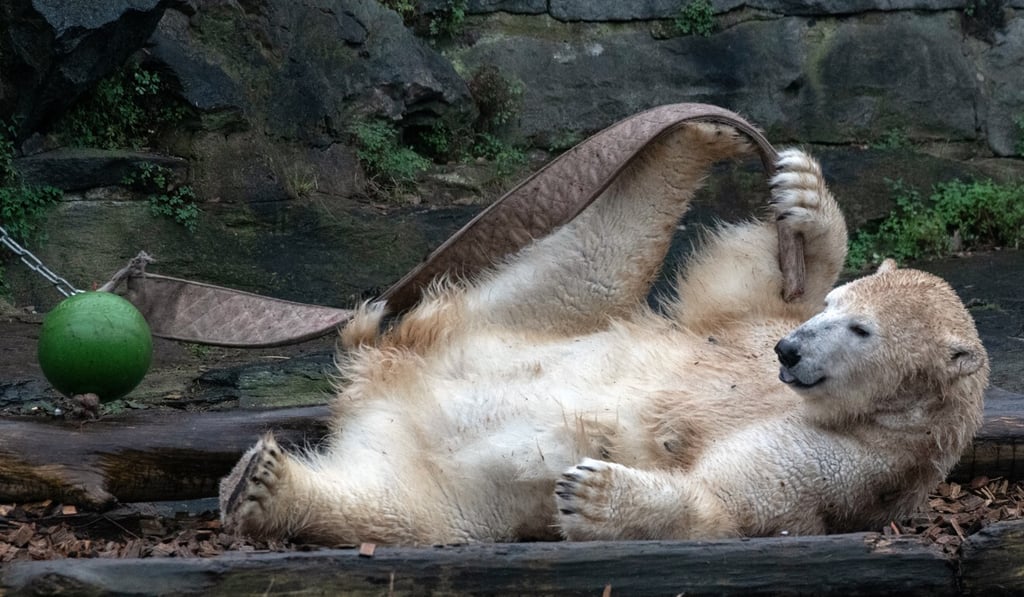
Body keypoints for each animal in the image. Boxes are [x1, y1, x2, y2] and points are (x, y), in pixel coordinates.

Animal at [218, 122, 988, 545]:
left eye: (861, 329)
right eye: (832, 306)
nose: (791, 350)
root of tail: (378, 390)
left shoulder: (859, 465)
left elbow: (733, 502)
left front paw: (595, 494)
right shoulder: (743, 331)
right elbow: (736, 288)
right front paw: (803, 192)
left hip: (444, 476)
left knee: (400, 508)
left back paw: (263, 485)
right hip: (502, 328)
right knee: (589, 264)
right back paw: (695, 136)